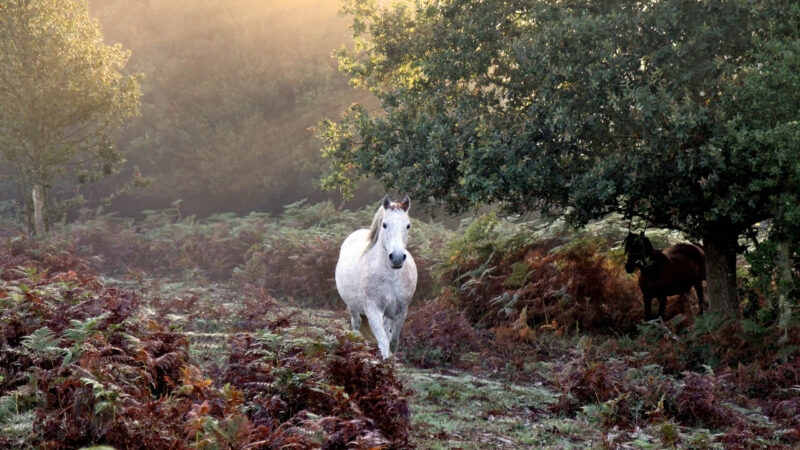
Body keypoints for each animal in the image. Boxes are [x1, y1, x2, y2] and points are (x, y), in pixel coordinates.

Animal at [335, 195, 418, 358]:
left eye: (408, 226)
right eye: (384, 225)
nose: (397, 258)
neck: (391, 278)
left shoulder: (401, 312)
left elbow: (393, 342)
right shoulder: (373, 310)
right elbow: (383, 342)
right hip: (352, 307)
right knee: (356, 324)